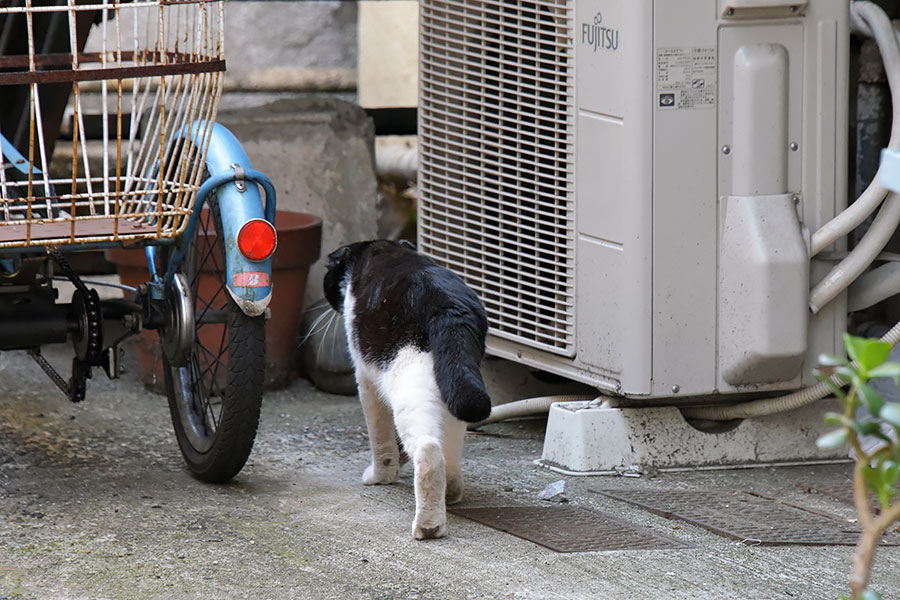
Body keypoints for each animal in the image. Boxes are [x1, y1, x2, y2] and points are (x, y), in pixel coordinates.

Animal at [324, 239, 492, 540]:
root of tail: (450, 305)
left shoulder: (365, 379)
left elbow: (380, 438)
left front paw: (380, 477)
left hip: (408, 387)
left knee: (428, 451)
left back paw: (429, 525)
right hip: (453, 386)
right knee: (448, 449)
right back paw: (451, 492)